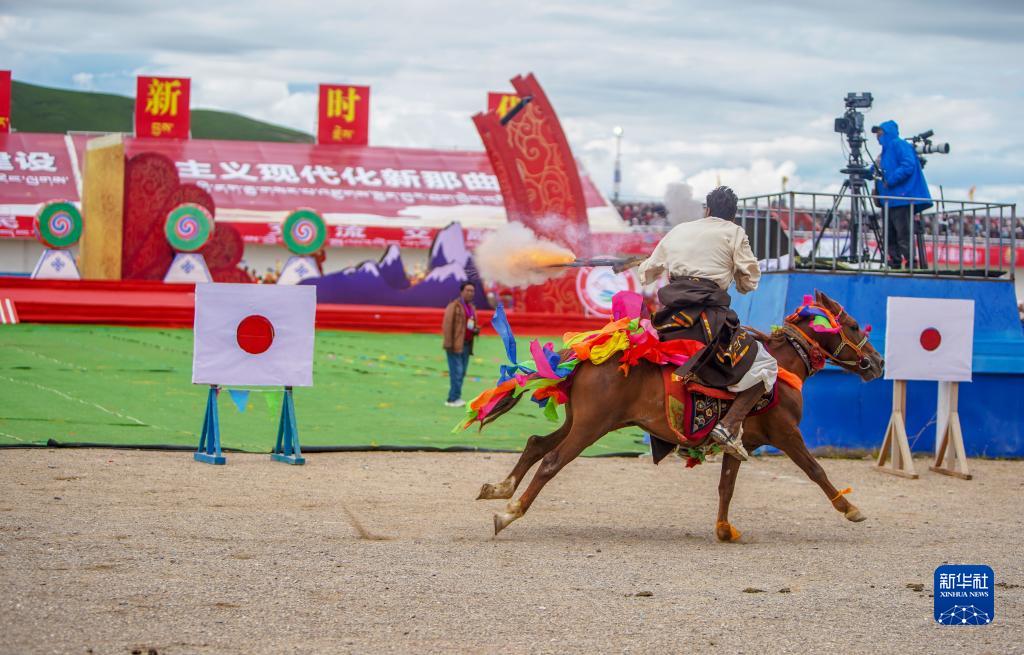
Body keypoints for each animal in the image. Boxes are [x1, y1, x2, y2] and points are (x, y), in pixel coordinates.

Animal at [475, 288, 884, 540]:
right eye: (851, 326)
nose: (878, 362)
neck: (783, 367)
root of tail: (589, 355)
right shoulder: (786, 433)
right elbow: (816, 470)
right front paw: (850, 507)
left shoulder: (744, 442)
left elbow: (726, 486)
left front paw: (724, 529)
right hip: (591, 427)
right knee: (551, 461)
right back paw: (510, 511)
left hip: (582, 421)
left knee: (535, 443)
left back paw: (500, 488)